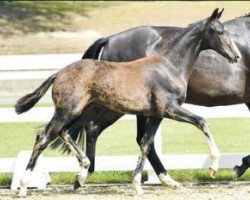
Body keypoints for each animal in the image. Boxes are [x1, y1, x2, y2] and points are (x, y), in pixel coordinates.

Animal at [16, 8, 239, 196]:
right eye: (218, 31)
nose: (235, 56)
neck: (169, 66)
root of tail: (58, 73)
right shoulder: (171, 109)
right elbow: (202, 122)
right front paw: (213, 168)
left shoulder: (157, 114)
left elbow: (146, 143)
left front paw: (137, 186)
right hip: (68, 111)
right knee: (44, 137)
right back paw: (24, 187)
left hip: (87, 111)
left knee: (67, 132)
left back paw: (82, 172)